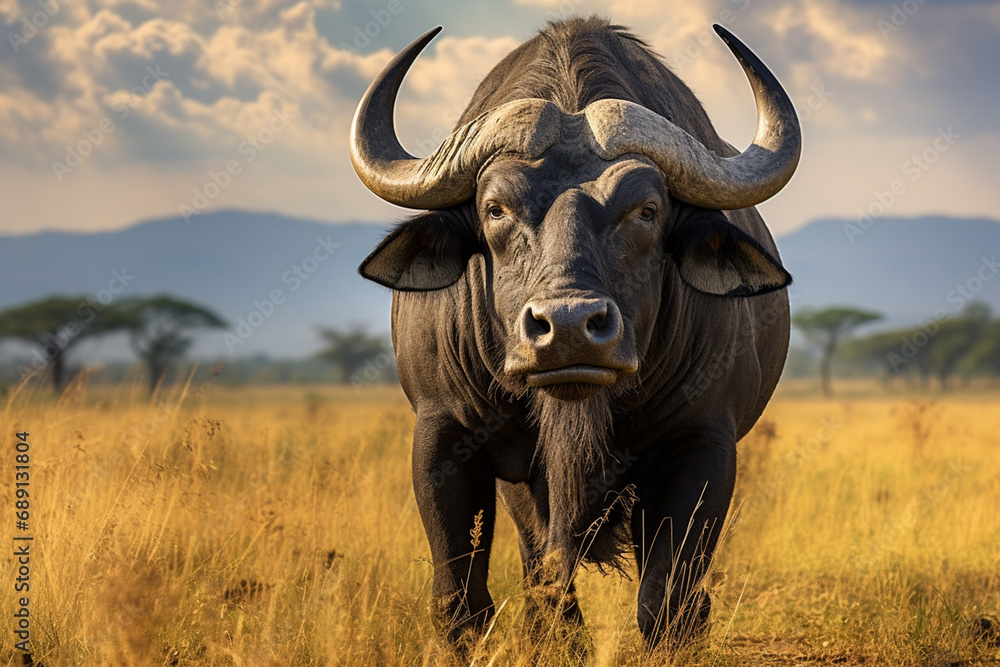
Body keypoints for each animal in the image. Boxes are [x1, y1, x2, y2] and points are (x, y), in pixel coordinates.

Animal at [350, 16, 800, 649]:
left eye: (647, 210)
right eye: (495, 209)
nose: (567, 327)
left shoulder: (704, 440)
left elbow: (667, 603)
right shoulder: (441, 433)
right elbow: (462, 603)